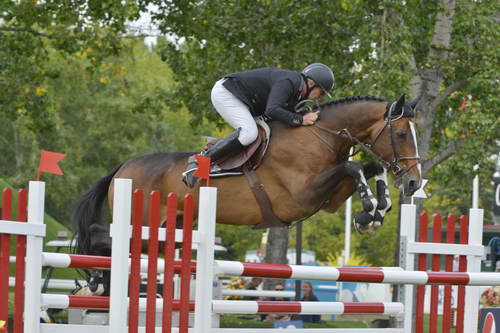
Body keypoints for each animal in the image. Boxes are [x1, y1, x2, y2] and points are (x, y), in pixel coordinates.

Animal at [73, 94, 422, 262]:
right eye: (402, 134)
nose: (414, 183)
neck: (318, 135)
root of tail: (122, 168)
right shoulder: (301, 196)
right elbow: (354, 168)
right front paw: (370, 210)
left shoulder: (328, 200)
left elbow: (368, 167)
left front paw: (376, 212)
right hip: (142, 223)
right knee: (101, 236)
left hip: (163, 233)